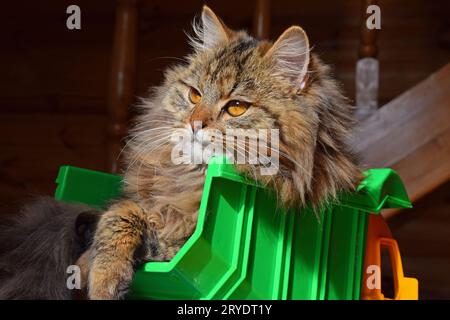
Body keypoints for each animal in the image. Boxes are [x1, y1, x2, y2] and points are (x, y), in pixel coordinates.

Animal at [0, 5, 360, 300]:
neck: (189, 176)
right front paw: (96, 268)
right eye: (194, 95)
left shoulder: (178, 240)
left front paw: (99, 278)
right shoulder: (141, 205)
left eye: (237, 107)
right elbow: (119, 215)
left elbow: (134, 225)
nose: (194, 123)